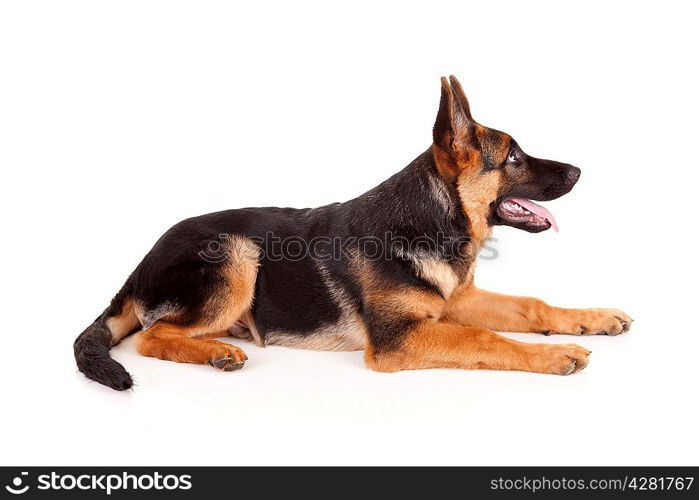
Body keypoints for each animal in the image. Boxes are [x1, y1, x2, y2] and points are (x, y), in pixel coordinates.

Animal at [74, 77, 632, 390]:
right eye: (514, 157)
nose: (579, 171)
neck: (429, 219)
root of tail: (139, 266)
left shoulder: (454, 301)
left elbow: (531, 305)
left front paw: (592, 319)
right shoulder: (397, 340)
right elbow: (486, 337)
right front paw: (553, 354)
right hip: (236, 254)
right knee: (151, 337)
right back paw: (216, 352)